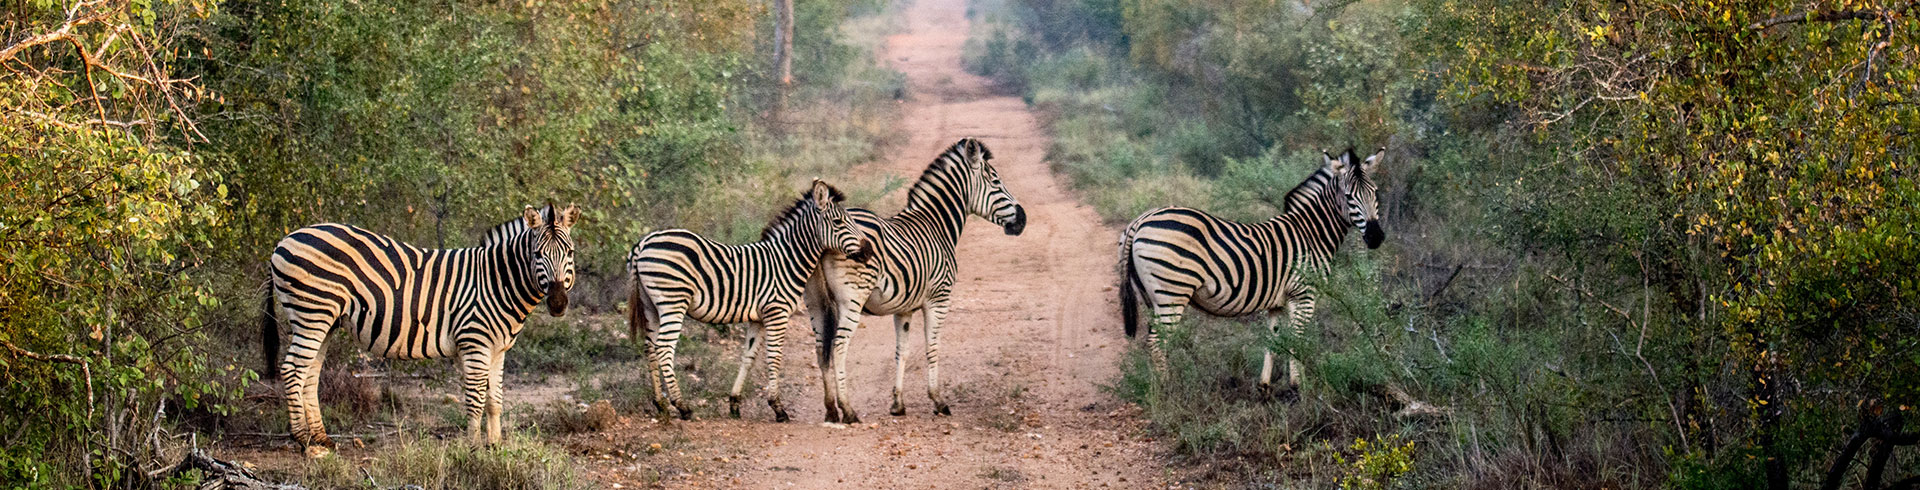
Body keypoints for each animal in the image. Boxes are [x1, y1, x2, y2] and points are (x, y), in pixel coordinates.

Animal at [260, 203, 579, 457]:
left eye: (570, 252)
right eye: (537, 254)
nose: (558, 303)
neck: (495, 281)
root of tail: (283, 240)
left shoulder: (498, 349)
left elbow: (495, 400)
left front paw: (496, 446)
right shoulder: (474, 343)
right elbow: (476, 400)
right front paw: (474, 448)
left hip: (325, 320)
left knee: (310, 374)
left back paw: (322, 438)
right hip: (311, 313)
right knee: (293, 370)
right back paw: (303, 440)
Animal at [626, 179, 871, 422]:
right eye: (838, 222)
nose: (868, 250)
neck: (786, 260)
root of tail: (645, 242)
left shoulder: (758, 319)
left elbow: (749, 357)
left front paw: (734, 404)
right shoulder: (777, 313)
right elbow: (774, 357)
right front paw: (778, 408)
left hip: (651, 307)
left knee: (650, 347)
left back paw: (660, 404)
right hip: (673, 302)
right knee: (664, 348)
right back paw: (682, 406)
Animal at [806, 137, 1026, 423]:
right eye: (997, 182)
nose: (1022, 220)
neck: (937, 225)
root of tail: (823, 238)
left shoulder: (904, 309)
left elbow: (903, 352)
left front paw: (898, 404)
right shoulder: (939, 299)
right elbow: (932, 348)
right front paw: (938, 401)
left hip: (817, 302)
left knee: (821, 348)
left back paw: (831, 410)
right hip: (851, 300)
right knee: (839, 347)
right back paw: (848, 410)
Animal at [1118, 147, 1385, 394]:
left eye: (1375, 193)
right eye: (1349, 197)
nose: (1376, 237)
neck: (1311, 234)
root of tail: (1141, 220)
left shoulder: (1277, 302)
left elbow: (1274, 340)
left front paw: (1265, 386)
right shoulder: (1304, 294)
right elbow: (1297, 339)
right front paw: (1298, 388)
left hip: (1151, 296)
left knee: (1150, 341)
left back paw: (1153, 388)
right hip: (1172, 293)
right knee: (1156, 342)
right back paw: (1167, 391)